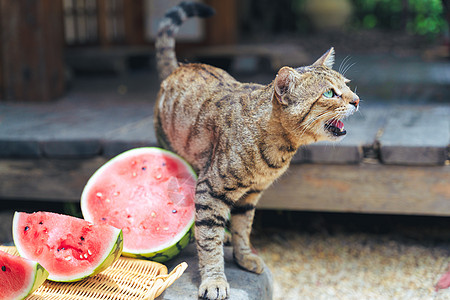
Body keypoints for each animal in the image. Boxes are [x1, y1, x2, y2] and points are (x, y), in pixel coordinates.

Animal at [153, 2, 360, 300]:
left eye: (347, 84)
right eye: (330, 94)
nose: (357, 100)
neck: (278, 147)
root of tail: (179, 66)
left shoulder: (251, 194)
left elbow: (243, 227)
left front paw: (243, 256)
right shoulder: (209, 189)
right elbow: (209, 240)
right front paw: (214, 279)